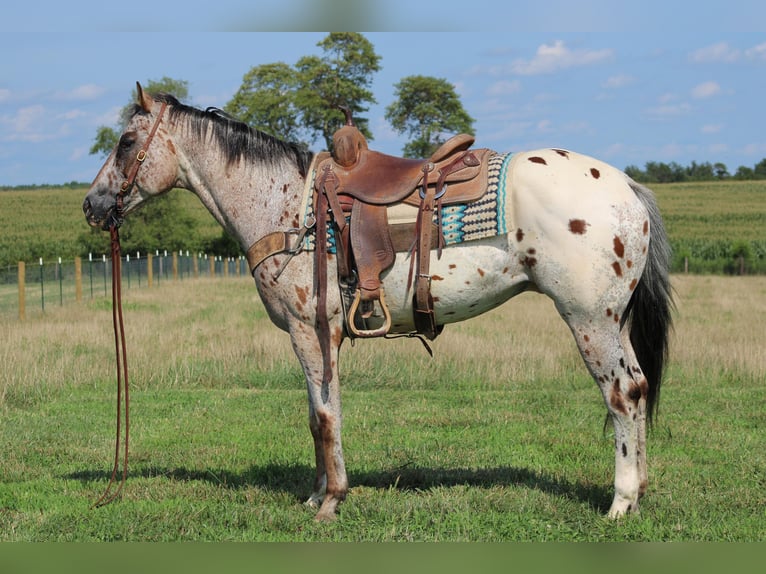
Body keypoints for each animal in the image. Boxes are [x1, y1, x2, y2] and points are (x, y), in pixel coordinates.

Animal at [81, 84, 676, 520]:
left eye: (127, 142)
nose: (92, 204)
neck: (286, 206)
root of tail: (626, 187)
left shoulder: (310, 329)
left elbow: (324, 416)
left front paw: (331, 501)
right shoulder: (319, 337)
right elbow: (318, 414)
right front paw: (316, 493)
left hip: (589, 320)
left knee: (622, 394)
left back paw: (620, 503)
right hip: (611, 322)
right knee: (641, 385)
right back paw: (640, 491)